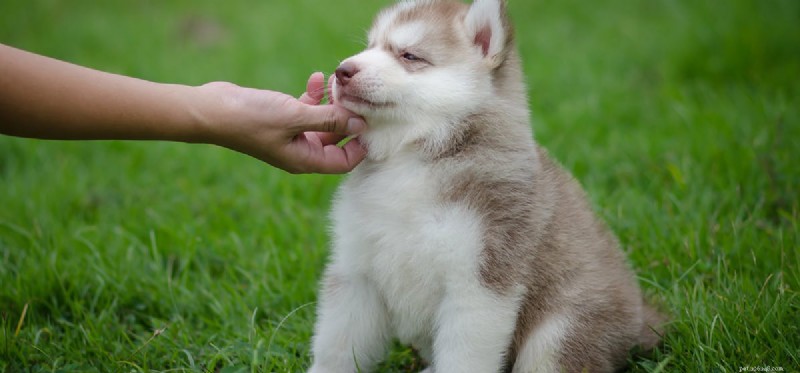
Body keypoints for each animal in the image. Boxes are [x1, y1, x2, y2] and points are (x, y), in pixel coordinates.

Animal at [306, 0, 664, 372]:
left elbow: (464, 356)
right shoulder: (356, 271)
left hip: (563, 329)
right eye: (370, 46)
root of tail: (642, 321)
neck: (410, 158)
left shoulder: (481, 279)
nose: (342, 70)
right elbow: (336, 345)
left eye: (409, 55)